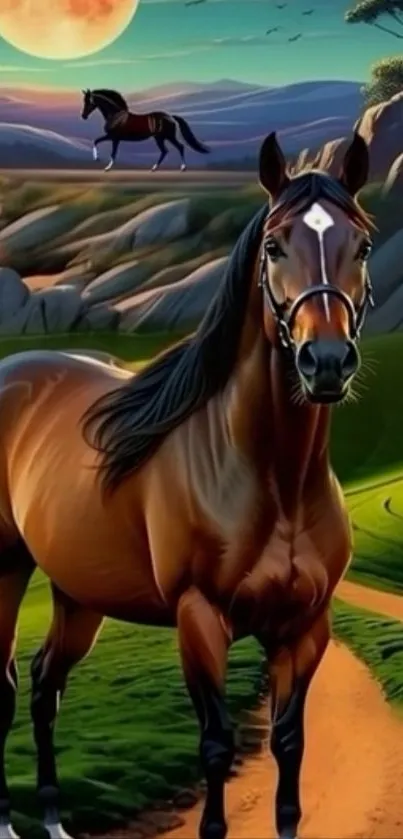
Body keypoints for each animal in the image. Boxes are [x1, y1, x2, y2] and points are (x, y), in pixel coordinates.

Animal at [0, 130, 374, 839]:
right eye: (274, 245)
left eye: (363, 244)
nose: (326, 362)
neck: (273, 480)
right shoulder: (199, 620)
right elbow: (217, 746)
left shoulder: (305, 628)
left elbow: (290, 748)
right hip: (5, 572)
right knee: (5, 682)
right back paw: (8, 822)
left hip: (77, 593)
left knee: (44, 682)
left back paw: (55, 818)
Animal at [80, 88, 210, 172]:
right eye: (84, 101)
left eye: (89, 101)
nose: (83, 116)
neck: (115, 115)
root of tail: (170, 116)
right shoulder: (114, 138)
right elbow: (99, 143)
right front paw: (100, 161)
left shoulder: (114, 137)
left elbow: (108, 149)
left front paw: (105, 166)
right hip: (160, 138)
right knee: (165, 151)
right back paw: (154, 168)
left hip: (168, 136)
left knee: (179, 147)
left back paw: (182, 168)